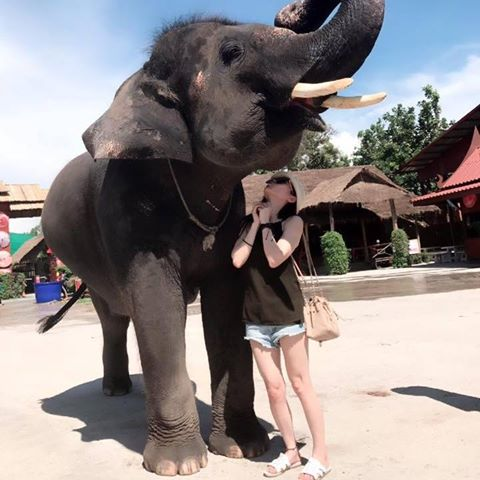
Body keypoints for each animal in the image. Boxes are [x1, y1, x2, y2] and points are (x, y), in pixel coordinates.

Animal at [40, 0, 385, 476]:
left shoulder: (231, 217)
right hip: (88, 266)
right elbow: (158, 307)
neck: (143, 76)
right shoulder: (129, 217)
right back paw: (115, 391)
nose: (288, 12)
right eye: (232, 53)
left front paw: (244, 449)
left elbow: (226, 305)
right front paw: (180, 466)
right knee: (114, 315)